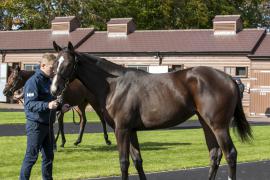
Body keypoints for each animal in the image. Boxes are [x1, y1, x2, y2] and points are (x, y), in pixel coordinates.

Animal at [51, 41, 253, 180]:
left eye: (68, 64)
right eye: (54, 65)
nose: (54, 89)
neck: (114, 84)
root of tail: (229, 78)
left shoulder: (121, 129)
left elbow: (123, 162)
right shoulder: (131, 130)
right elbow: (137, 161)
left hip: (219, 126)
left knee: (230, 154)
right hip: (206, 124)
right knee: (215, 155)